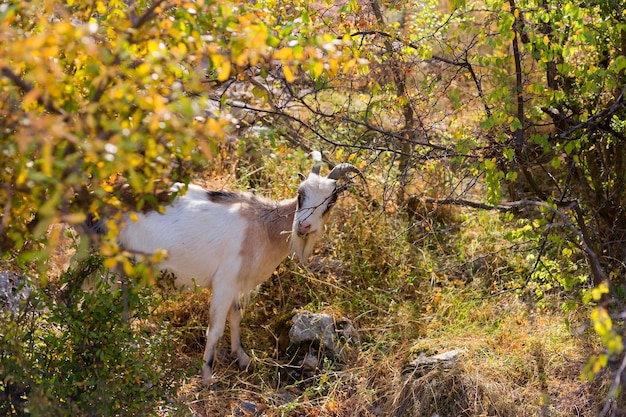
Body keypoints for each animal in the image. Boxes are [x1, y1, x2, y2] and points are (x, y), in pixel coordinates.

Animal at [106, 161, 358, 386]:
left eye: (332, 200)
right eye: (300, 193)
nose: (303, 226)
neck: (265, 227)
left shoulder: (238, 284)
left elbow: (236, 318)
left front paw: (242, 358)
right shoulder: (224, 283)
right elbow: (215, 329)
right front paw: (206, 377)